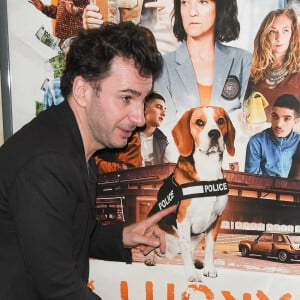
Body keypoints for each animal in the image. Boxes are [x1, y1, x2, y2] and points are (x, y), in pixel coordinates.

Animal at [145, 106, 234, 282]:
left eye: (221, 121)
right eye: (199, 122)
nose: (214, 133)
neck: (207, 168)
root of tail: (169, 255)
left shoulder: (216, 219)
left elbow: (210, 248)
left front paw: (209, 269)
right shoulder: (183, 218)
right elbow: (185, 248)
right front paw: (191, 274)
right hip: (152, 224)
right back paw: (150, 258)